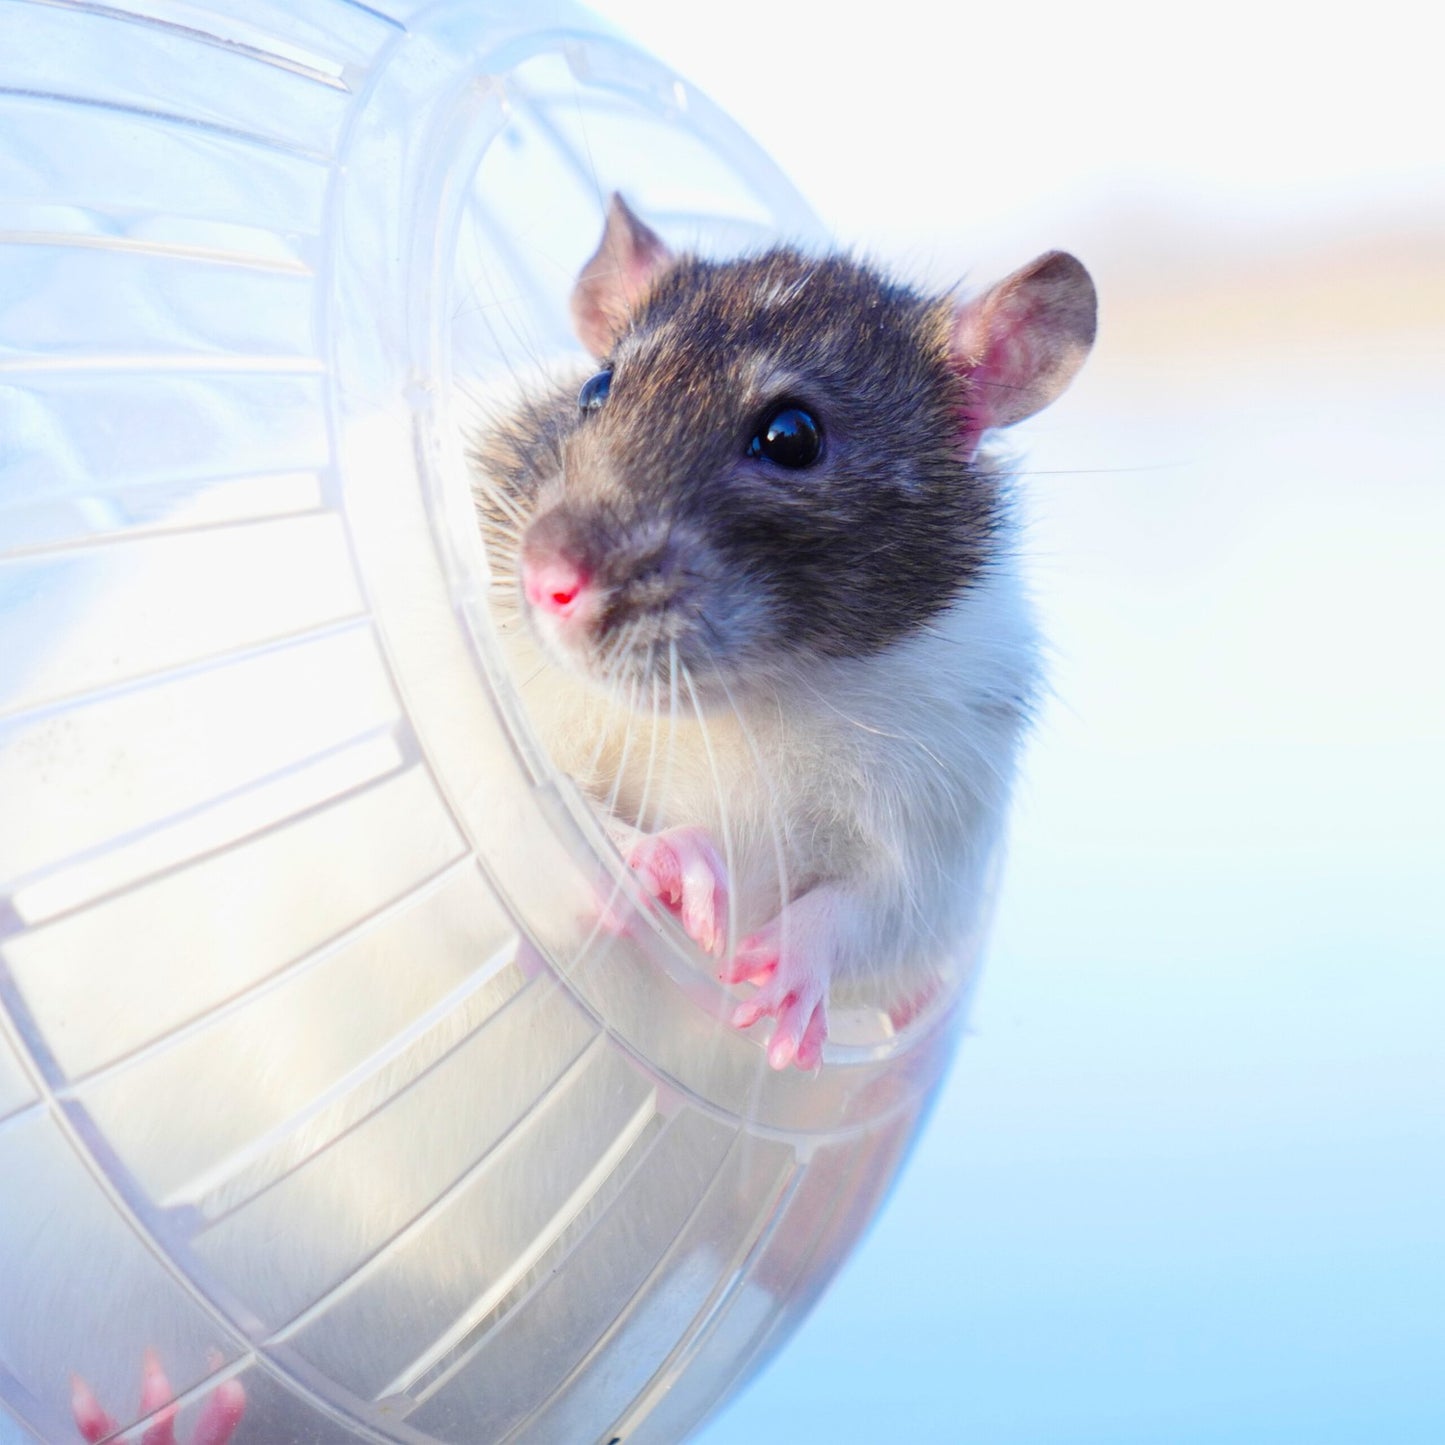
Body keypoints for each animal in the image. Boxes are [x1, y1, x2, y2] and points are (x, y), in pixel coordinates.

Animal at [471, 194, 1096, 1071]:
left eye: (790, 435)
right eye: (596, 385)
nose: (546, 581)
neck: (744, 695)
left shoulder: (946, 805)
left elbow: (882, 909)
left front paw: (795, 963)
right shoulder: (505, 695)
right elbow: (532, 799)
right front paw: (659, 857)